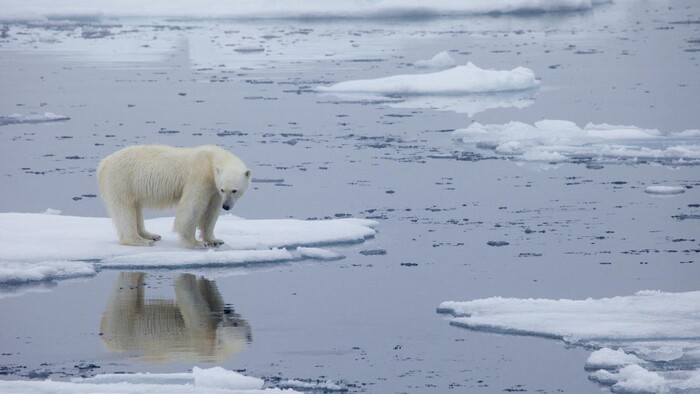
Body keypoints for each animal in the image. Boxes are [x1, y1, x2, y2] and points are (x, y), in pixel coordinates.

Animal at [97, 145, 252, 249]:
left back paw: (150, 235)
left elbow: (211, 211)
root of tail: (104, 163)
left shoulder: (213, 189)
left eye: (234, 190)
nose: (226, 206)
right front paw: (196, 243)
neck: (210, 159)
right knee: (124, 209)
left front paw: (214, 240)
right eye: (223, 189)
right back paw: (139, 240)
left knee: (136, 208)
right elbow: (192, 206)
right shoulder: (200, 177)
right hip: (122, 180)